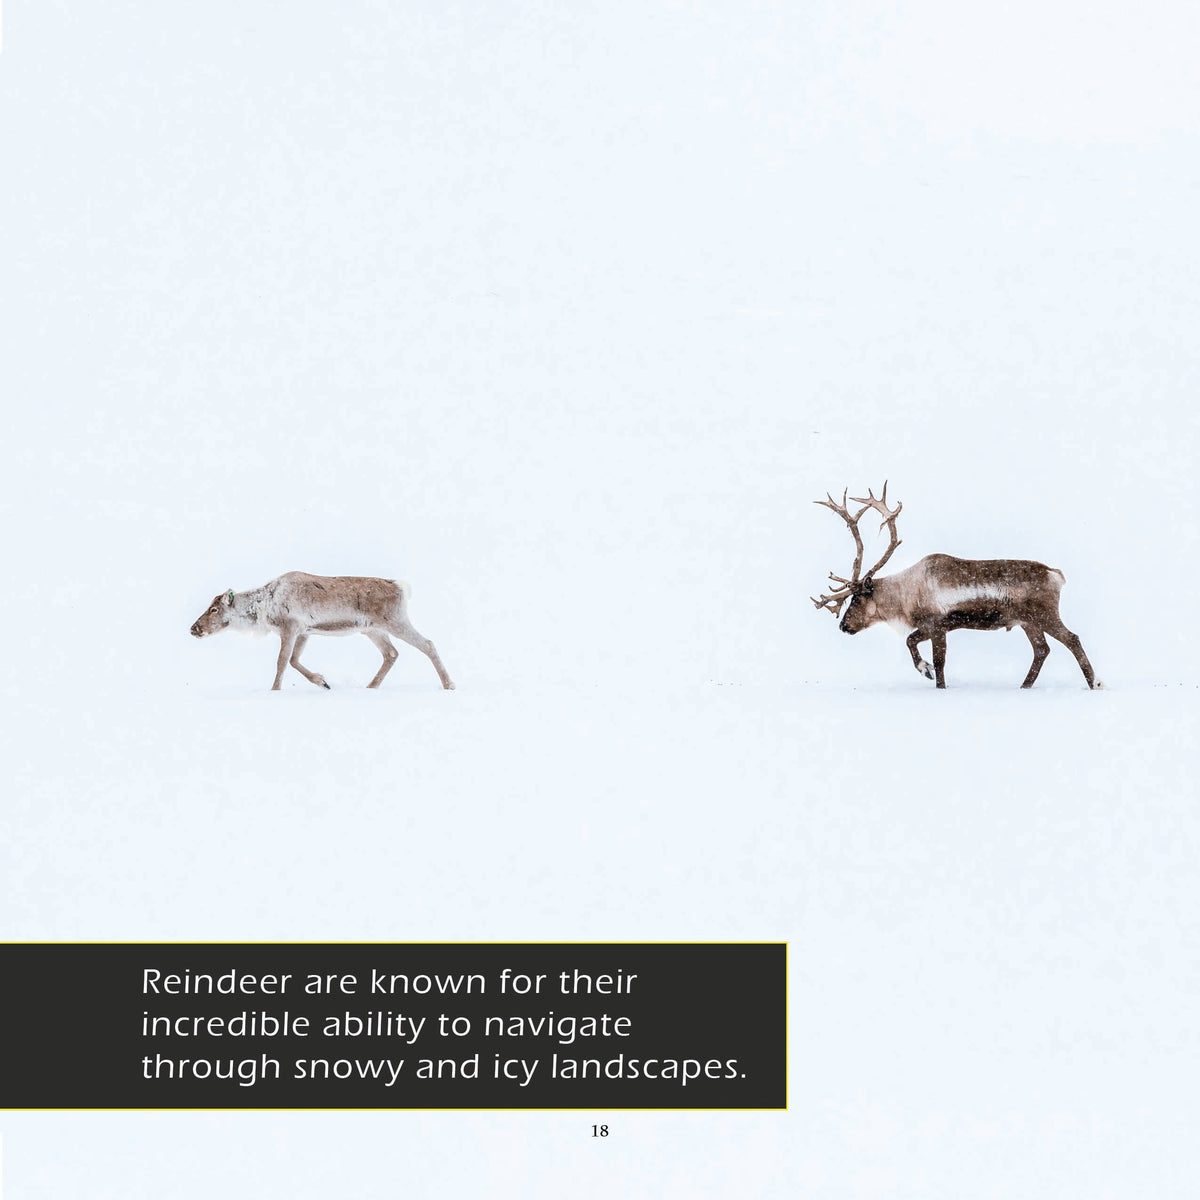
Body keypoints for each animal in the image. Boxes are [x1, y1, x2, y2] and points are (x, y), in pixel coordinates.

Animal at [190, 572, 455, 692]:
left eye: (214, 609)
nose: (194, 628)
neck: (264, 607)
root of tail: (402, 588)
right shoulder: (304, 631)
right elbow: (294, 660)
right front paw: (322, 682)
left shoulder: (290, 627)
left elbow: (282, 662)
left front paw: (274, 690)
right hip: (372, 630)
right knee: (391, 653)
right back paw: (370, 687)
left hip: (395, 621)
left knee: (428, 644)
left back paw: (449, 684)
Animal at [811, 484, 1098, 689]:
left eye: (856, 599)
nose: (843, 626)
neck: (904, 594)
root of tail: (1056, 575)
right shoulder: (933, 626)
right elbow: (912, 642)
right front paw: (925, 670)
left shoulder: (937, 625)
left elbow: (937, 661)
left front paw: (933, 678)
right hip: (1027, 622)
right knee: (1041, 650)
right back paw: (1023, 686)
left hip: (1044, 614)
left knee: (1072, 639)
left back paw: (1094, 683)